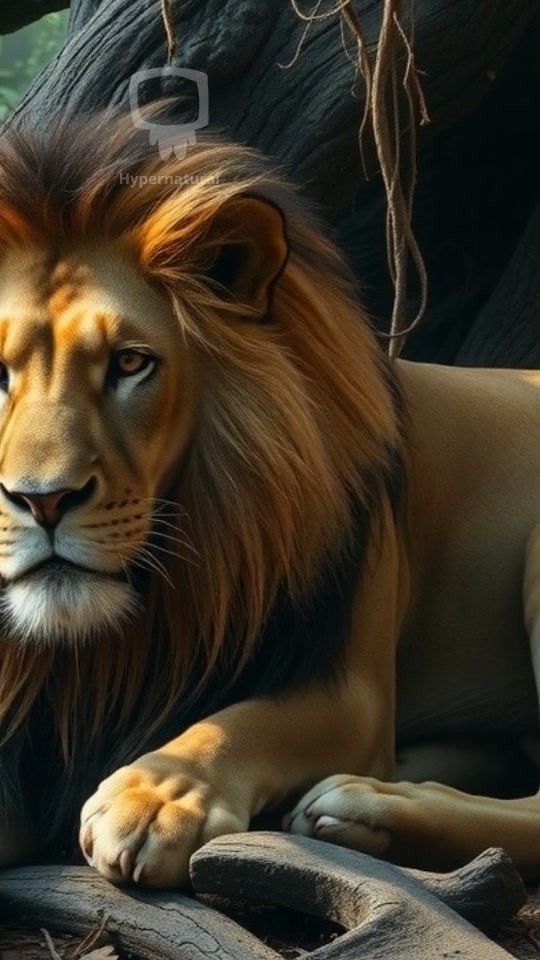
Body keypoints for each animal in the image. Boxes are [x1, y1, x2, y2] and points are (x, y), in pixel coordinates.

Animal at [0, 113, 538, 888]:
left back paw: (370, 805)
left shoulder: (352, 689)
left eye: (130, 363)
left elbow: (240, 722)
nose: (43, 501)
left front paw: (155, 800)